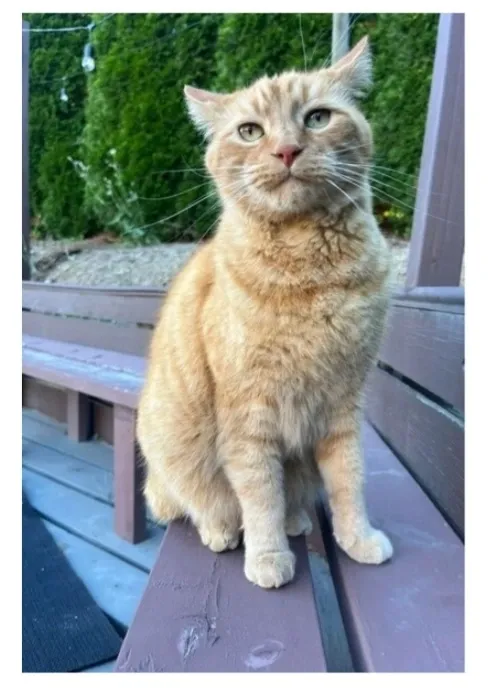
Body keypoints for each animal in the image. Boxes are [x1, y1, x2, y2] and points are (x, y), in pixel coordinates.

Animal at [137, 35, 394, 589]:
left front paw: (357, 538)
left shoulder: (344, 404)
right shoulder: (248, 415)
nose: (287, 150)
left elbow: (349, 480)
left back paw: (297, 520)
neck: (313, 279)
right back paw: (221, 531)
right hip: (172, 459)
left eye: (317, 118)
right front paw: (268, 556)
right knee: (200, 505)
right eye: (250, 131)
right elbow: (258, 496)